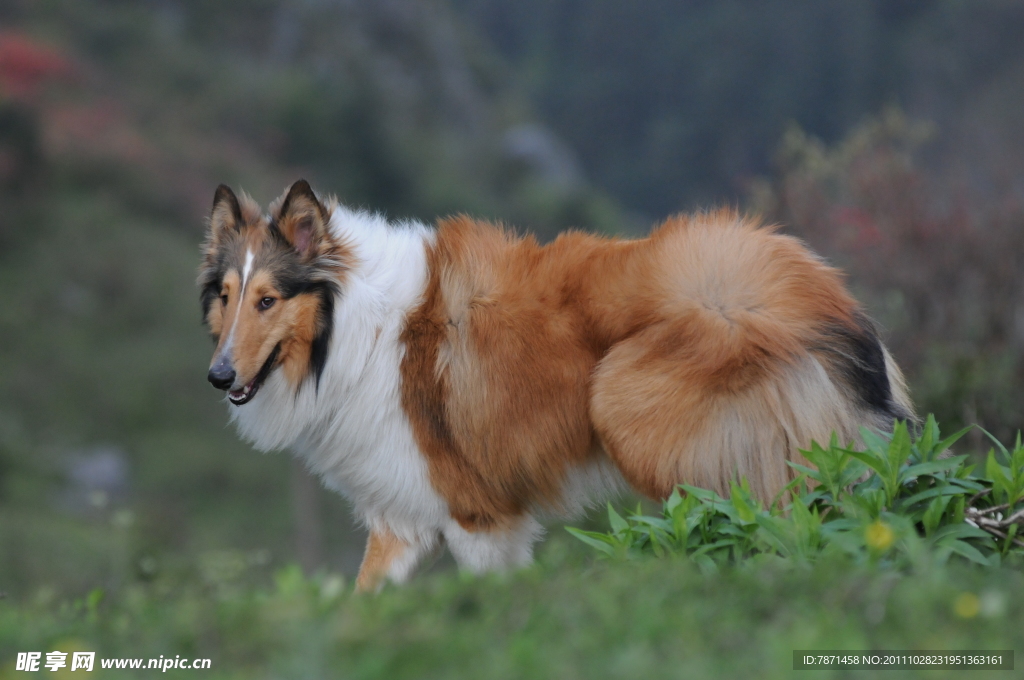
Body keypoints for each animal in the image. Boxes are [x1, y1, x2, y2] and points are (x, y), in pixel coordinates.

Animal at [197, 179, 913, 589]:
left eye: (268, 300)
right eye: (226, 296)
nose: (218, 375)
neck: (355, 330)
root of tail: (816, 297)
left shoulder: (480, 518)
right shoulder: (404, 519)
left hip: (635, 411)